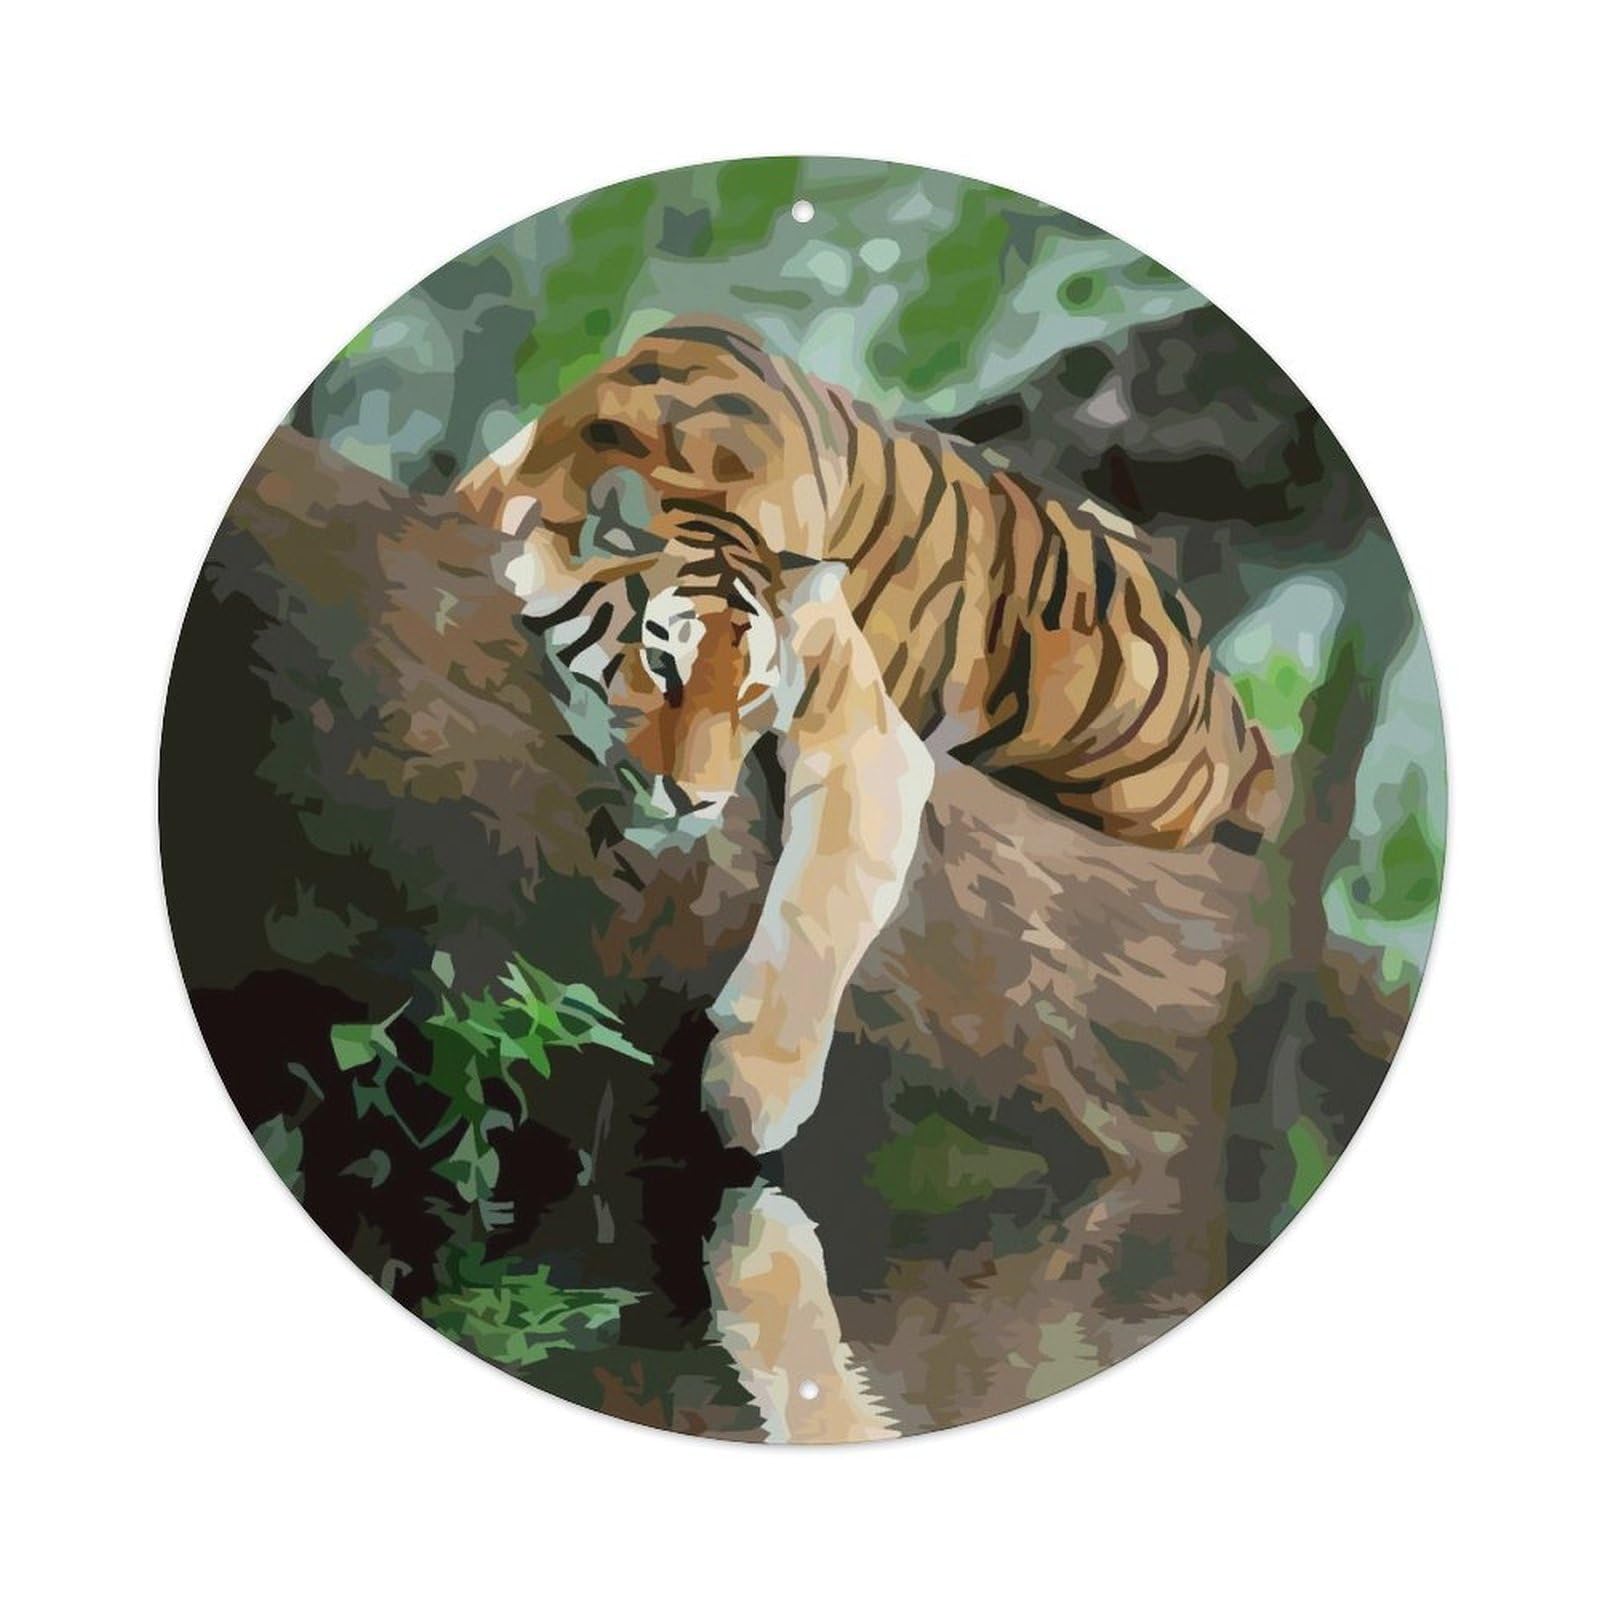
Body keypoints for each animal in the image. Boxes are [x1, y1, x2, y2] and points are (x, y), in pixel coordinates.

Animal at [455, 316, 1284, 1150]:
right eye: (661, 661)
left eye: (753, 693)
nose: (697, 800)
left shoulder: (864, 731)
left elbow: (822, 905)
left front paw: (755, 1091)